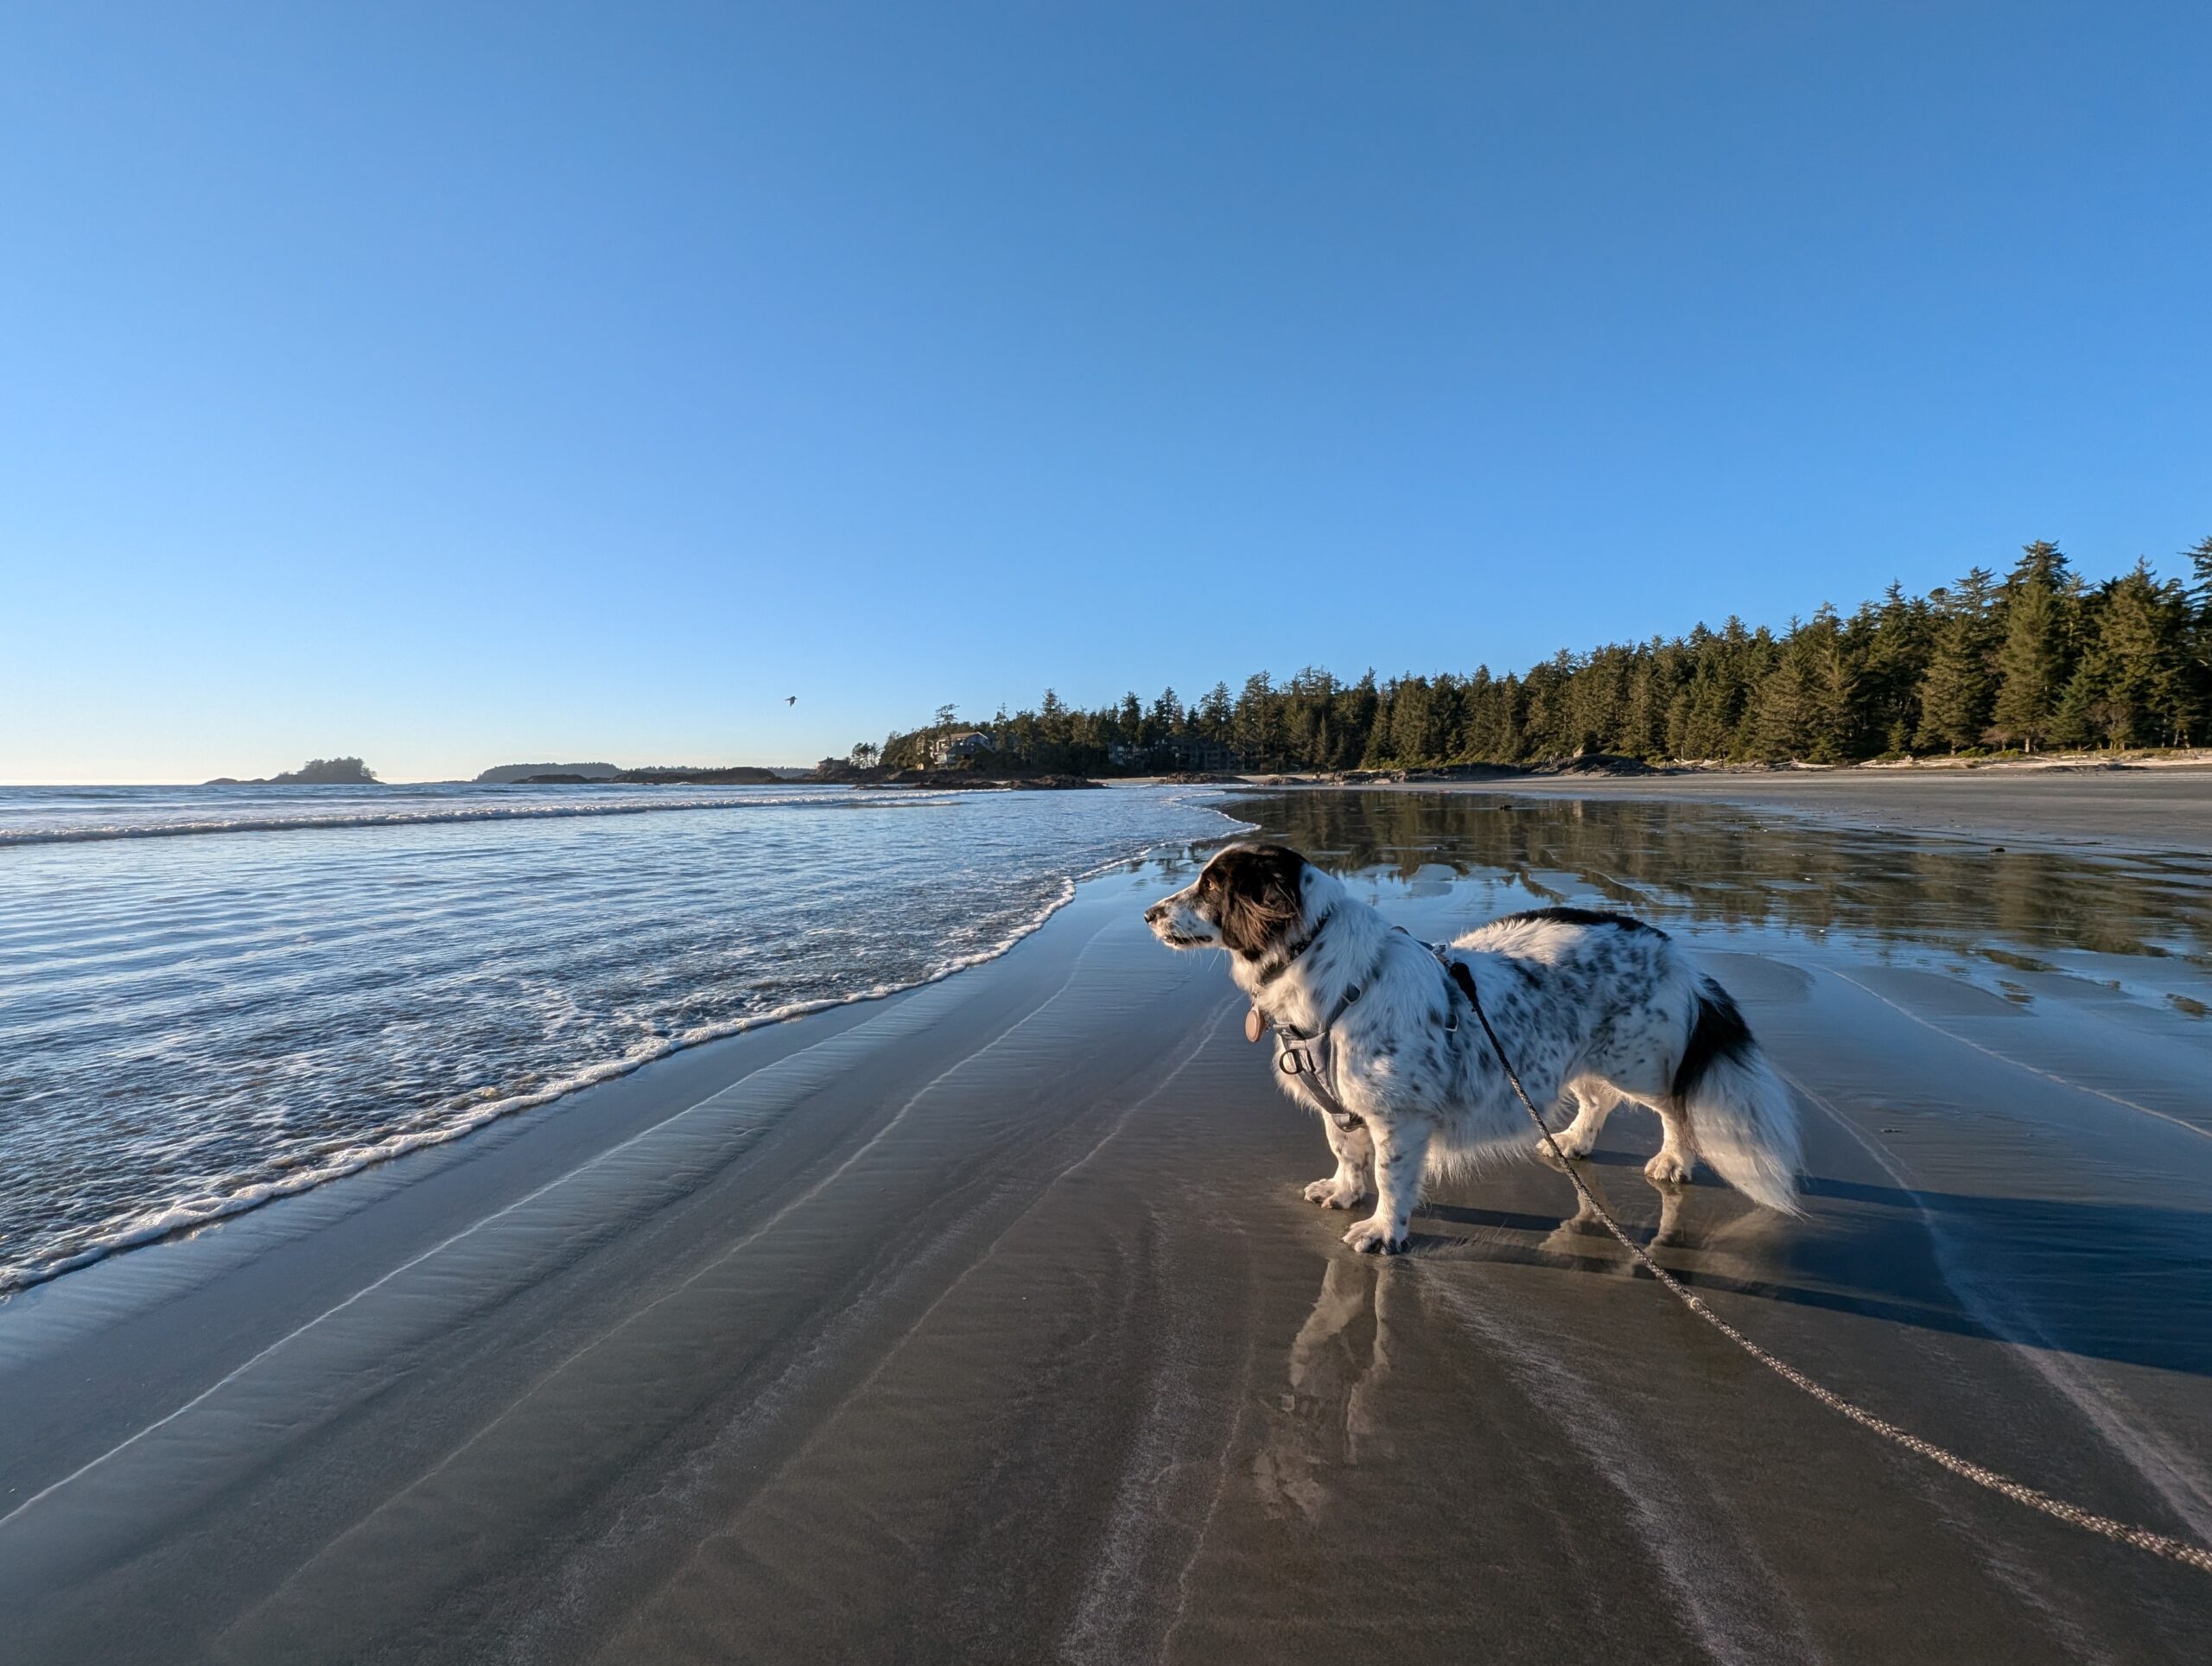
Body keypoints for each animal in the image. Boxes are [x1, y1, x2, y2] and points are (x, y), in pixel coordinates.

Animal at [1144, 842, 1802, 1253]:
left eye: (1211, 885)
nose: (1149, 914)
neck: (1329, 976)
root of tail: (1672, 948)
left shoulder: (1399, 1116)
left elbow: (1389, 1175)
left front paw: (1383, 1231)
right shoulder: (1343, 1105)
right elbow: (1346, 1152)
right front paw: (1343, 1193)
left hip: (1636, 1059)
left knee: (1675, 1105)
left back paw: (1672, 1161)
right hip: (1575, 1055)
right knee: (1597, 1101)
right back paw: (1572, 1143)